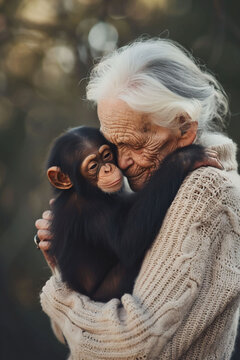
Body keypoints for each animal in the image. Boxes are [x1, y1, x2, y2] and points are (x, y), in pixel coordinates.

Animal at [46, 126, 208, 300]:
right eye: (93, 166)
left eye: (106, 156)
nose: (107, 169)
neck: (84, 191)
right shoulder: (91, 210)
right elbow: (127, 242)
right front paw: (185, 156)